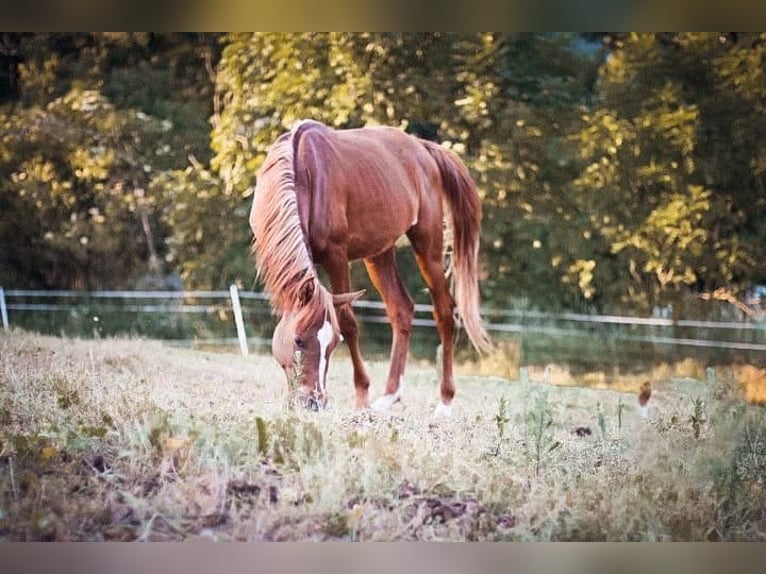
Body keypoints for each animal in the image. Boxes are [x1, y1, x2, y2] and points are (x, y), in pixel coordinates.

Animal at [252, 120, 492, 414]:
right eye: (298, 340)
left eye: (334, 343)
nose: (314, 402)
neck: (303, 172)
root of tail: (423, 148)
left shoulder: (336, 257)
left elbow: (348, 323)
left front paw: (362, 395)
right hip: (379, 254)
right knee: (401, 309)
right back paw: (389, 396)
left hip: (428, 246)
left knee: (444, 311)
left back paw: (445, 400)